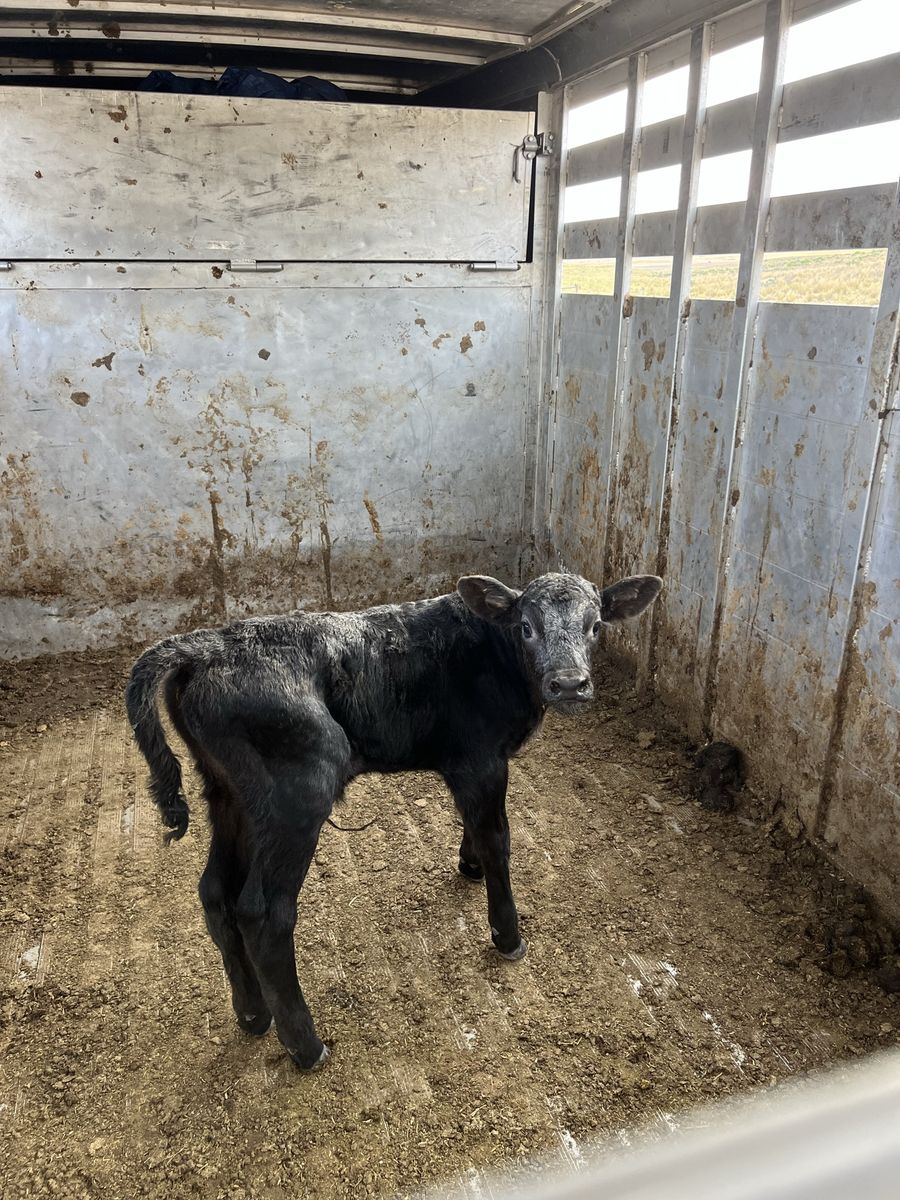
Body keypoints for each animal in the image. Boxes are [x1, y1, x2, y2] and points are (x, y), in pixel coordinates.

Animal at [125, 570, 662, 1071]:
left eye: (596, 625)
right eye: (526, 626)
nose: (570, 683)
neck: (495, 656)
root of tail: (204, 646)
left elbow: (474, 825)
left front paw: (468, 865)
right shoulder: (481, 760)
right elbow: (497, 840)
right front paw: (507, 935)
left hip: (228, 794)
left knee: (216, 892)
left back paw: (254, 1015)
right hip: (299, 791)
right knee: (263, 913)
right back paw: (305, 1046)